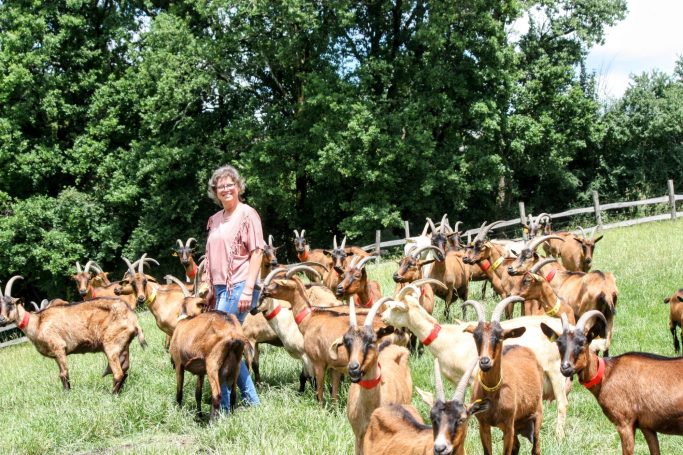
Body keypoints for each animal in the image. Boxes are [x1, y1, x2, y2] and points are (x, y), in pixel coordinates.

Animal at [0, 276, 147, 394]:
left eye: (11, 303)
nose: (2, 319)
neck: (38, 323)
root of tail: (132, 318)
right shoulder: (56, 355)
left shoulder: (59, 348)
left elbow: (63, 374)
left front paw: (66, 394)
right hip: (123, 346)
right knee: (125, 370)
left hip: (111, 344)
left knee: (118, 373)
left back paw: (112, 395)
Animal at [382, 288, 568, 438]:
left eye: (394, 308)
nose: (383, 318)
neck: (447, 338)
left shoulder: (472, 377)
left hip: (556, 371)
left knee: (562, 403)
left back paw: (559, 435)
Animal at [464, 298, 544, 455]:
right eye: (476, 336)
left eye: (500, 336)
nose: (485, 361)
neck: (494, 392)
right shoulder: (484, 425)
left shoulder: (508, 426)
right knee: (517, 446)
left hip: (537, 415)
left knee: (536, 448)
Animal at [544, 312, 683, 454]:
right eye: (559, 343)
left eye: (582, 342)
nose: (565, 367)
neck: (607, 373)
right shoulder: (647, 427)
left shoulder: (624, 423)